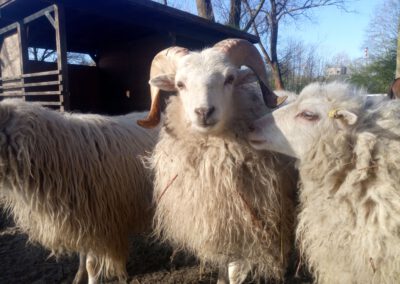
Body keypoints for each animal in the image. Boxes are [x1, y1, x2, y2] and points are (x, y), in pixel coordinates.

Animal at [138, 38, 296, 282]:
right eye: (180, 84)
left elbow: (234, 271)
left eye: (230, 79)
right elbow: (223, 267)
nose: (204, 112)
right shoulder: (219, 225)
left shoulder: (246, 226)